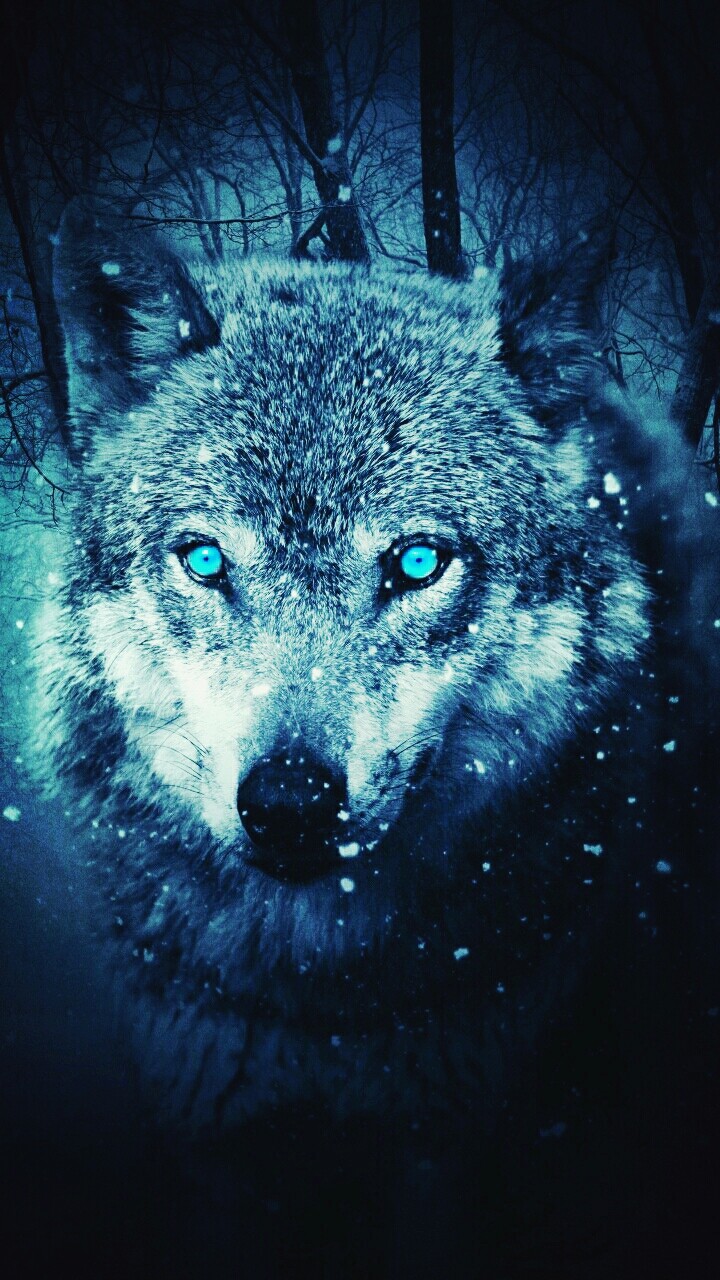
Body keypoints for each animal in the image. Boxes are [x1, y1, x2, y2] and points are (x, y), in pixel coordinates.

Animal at [26, 201, 719, 1270]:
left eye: (418, 562)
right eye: (205, 561)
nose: (289, 803)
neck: (322, 1001)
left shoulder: (449, 1139)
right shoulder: (216, 1136)